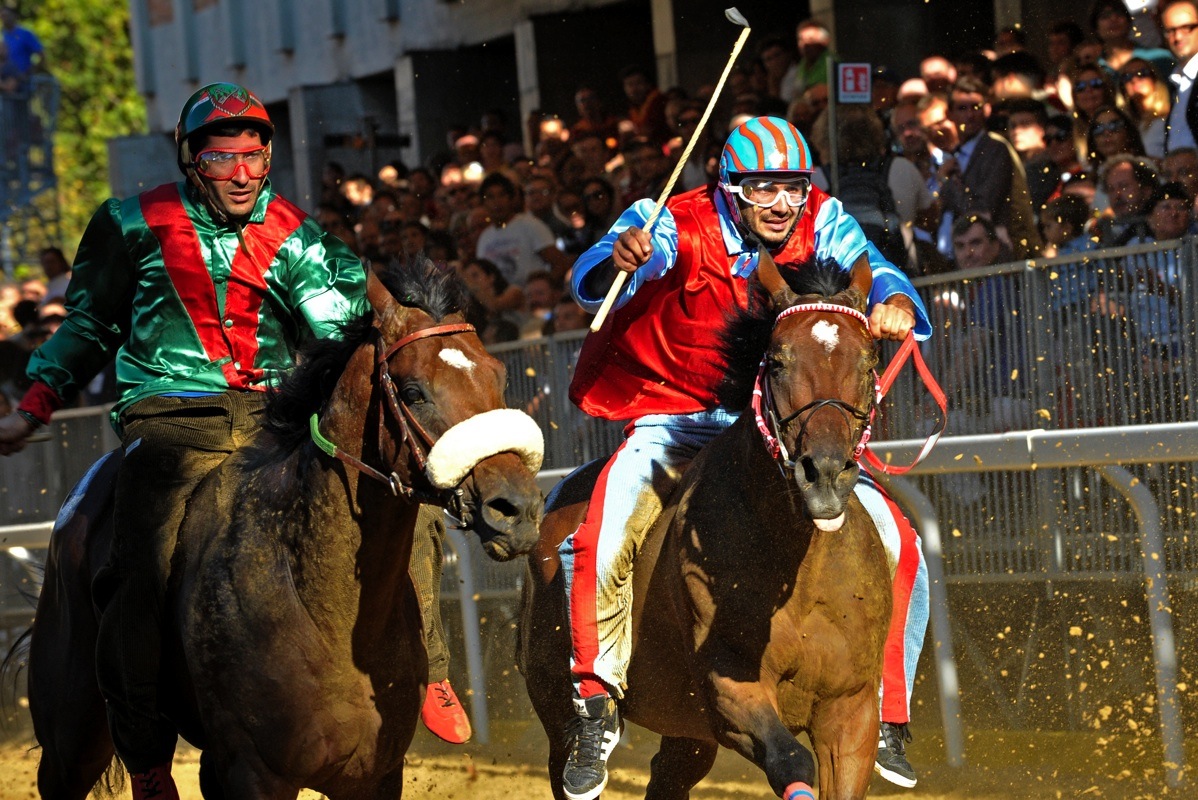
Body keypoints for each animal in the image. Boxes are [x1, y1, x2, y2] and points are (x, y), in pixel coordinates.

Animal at [28, 259, 546, 795]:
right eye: (413, 392)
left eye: (499, 377)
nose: (517, 509)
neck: (319, 602)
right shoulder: (256, 773)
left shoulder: (373, 774)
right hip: (71, 735)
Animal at [519, 251, 896, 800]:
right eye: (777, 361)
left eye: (869, 362)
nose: (824, 474)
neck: (798, 570)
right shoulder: (728, 690)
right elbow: (790, 758)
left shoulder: (850, 708)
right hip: (554, 705)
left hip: (685, 729)